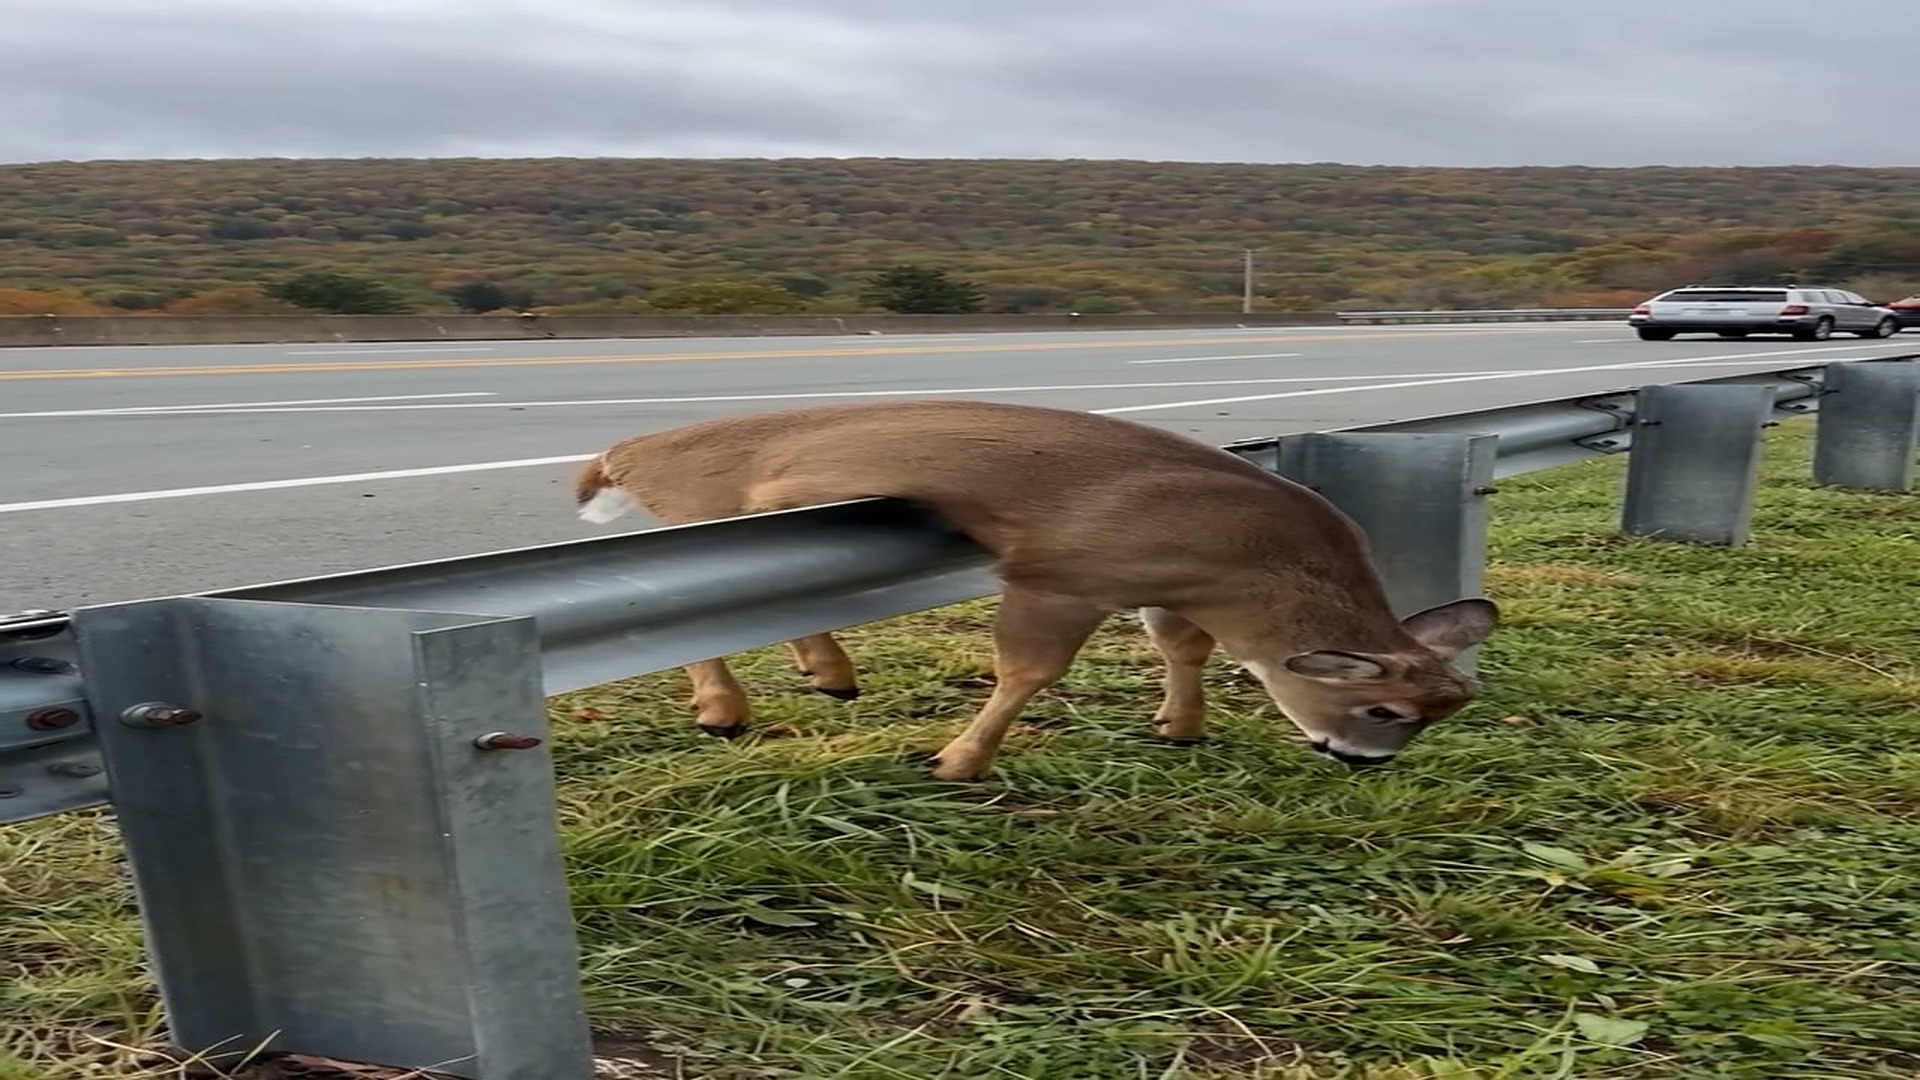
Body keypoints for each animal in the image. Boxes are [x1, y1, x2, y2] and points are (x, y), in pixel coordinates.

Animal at [572, 399, 1498, 783]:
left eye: (1446, 712)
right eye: (1383, 710)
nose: (1362, 760)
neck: (1255, 566)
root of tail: (621, 454)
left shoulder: (1172, 590)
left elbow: (1182, 645)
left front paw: (1179, 725)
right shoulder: (1059, 573)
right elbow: (1028, 671)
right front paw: (958, 761)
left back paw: (824, 674)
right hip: (705, 514)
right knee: (700, 625)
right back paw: (730, 708)